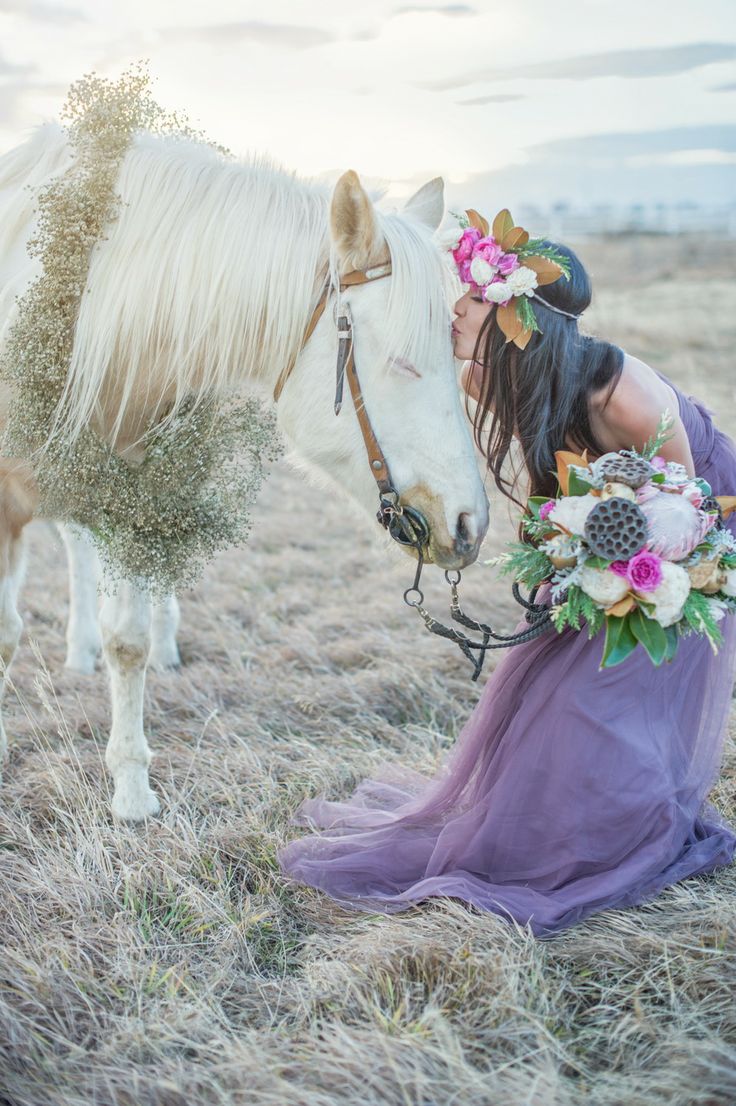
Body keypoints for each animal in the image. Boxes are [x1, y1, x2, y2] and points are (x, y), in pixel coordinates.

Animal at [0, 127, 486, 822]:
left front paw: (131, 790)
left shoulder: (133, 495)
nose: (469, 523)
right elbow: (7, 635)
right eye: (401, 363)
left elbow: (129, 639)